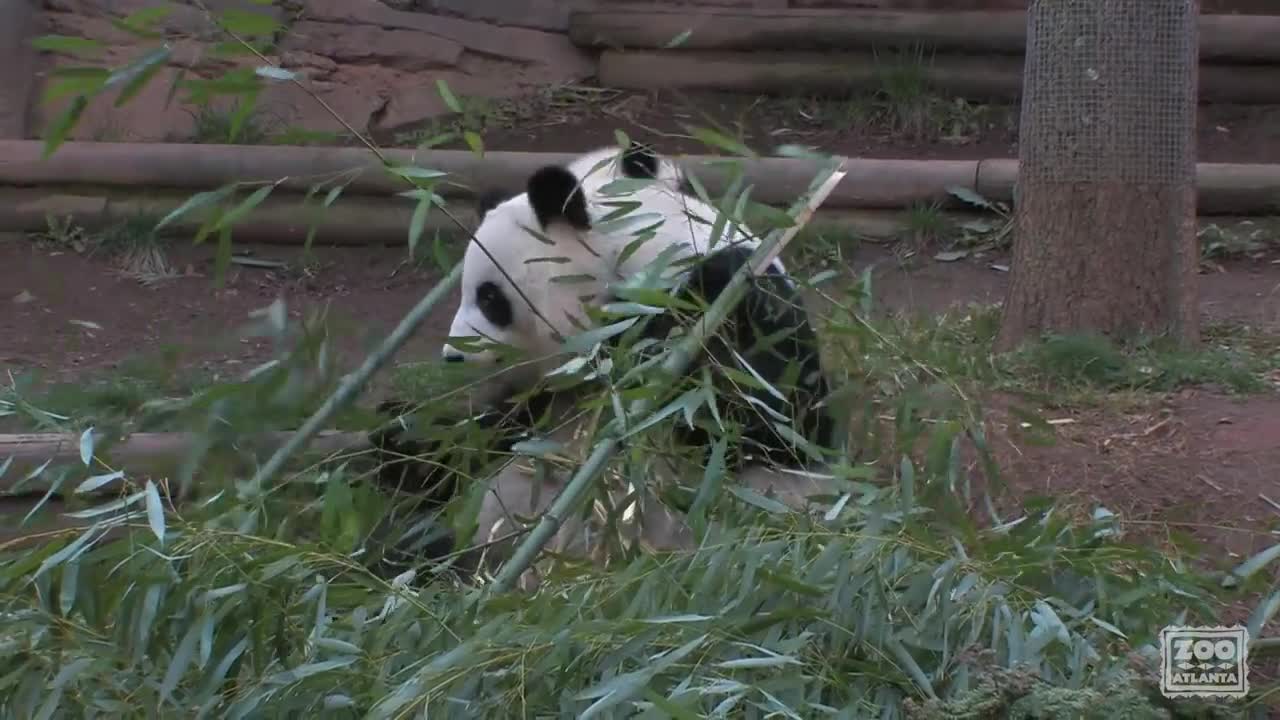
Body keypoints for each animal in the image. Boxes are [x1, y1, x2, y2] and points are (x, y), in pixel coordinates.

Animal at [366, 142, 834, 579]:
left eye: (489, 298)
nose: (454, 354)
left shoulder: (735, 305)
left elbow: (760, 426)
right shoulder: (552, 393)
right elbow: (489, 433)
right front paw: (398, 435)